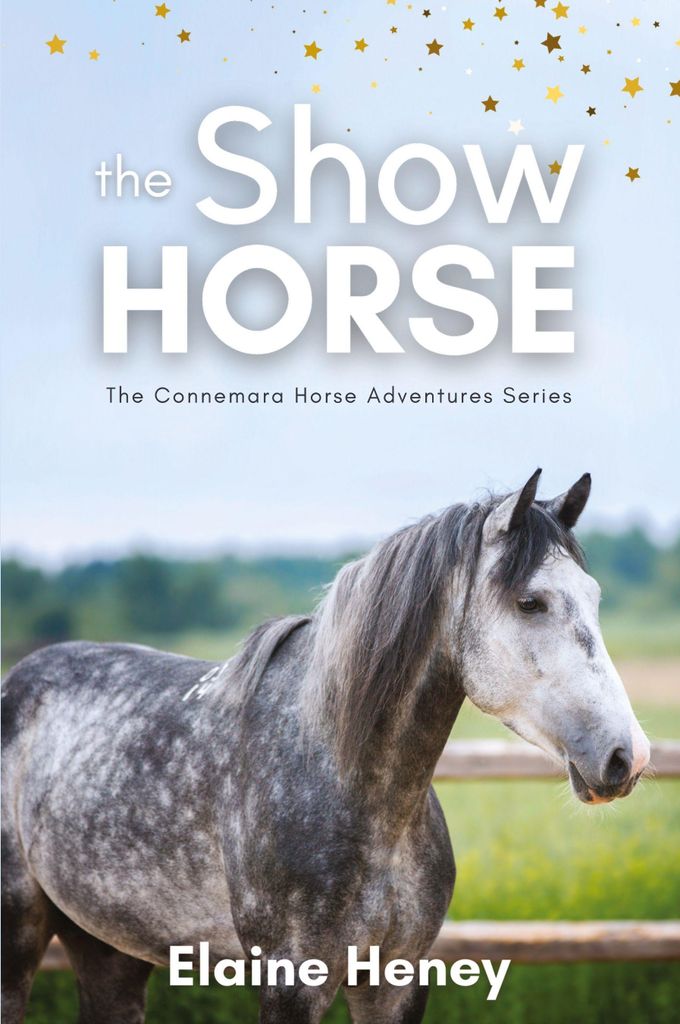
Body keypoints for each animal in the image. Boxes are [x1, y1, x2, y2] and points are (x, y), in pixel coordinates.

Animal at [2, 469, 650, 1024]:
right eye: (529, 602)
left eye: (594, 598)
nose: (627, 757)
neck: (349, 784)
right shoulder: (292, 983)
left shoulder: (396, 979)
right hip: (20, 938)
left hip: (107, 946)